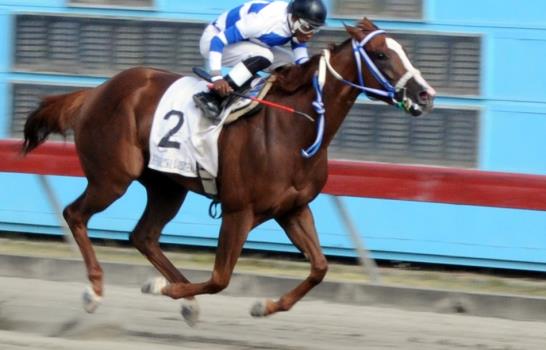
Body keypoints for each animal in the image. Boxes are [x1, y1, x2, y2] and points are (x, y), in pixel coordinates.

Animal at [20, 18, 434, 326]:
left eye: (401, 50)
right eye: (380, 54)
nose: (425, 94)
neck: (292, 128)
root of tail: (94, 92)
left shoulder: (292, 209)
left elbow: (319, 267)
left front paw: (264, 306)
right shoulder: (239, 211)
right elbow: (220, 278)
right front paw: (161, 289)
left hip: (166, 186)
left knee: (144, 235)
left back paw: (184, 301)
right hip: (112, 178)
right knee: (76, 214)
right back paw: (95, 291)